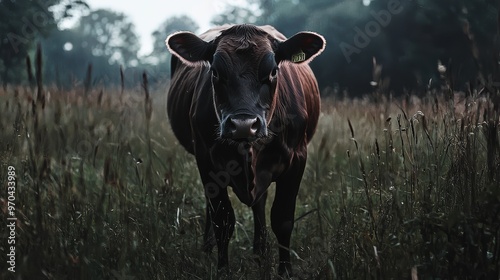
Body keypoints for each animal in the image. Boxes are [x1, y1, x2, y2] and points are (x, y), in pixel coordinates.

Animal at [166, 23, 326, 276]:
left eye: (273, 71)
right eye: (215, 72)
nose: (243, 124)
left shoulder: (297, 158)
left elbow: (282, 219)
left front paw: (285, 272)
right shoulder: (206, 160)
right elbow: (223, 220)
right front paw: (222, 270)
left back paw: (259, 250)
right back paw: (208, 248)